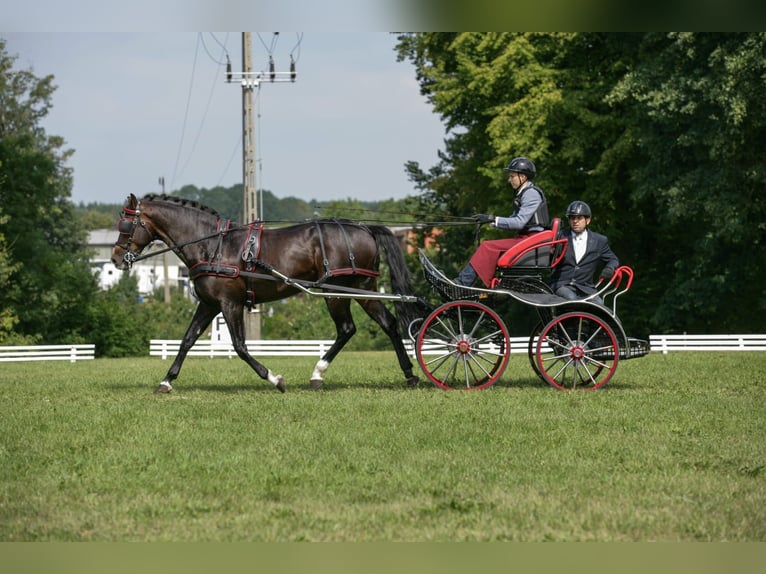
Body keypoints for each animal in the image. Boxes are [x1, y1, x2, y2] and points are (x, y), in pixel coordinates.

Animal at [112, 196, 426, 394]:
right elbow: (187, 340)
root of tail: (363, 227)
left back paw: (318, 372)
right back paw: (409, 375)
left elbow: (240, 346)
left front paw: (275, 379)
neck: (212, 245)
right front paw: (167, 381)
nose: (116, 258)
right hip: (363, 290)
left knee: (347, 329)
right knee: (387, 325)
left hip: (336, 292)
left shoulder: (230, 304)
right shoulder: (209, 304)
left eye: (126, 225)